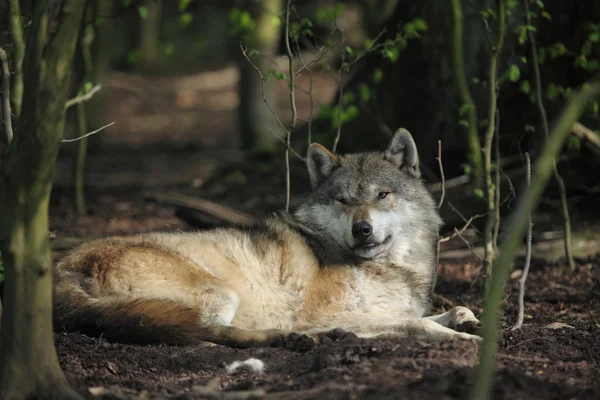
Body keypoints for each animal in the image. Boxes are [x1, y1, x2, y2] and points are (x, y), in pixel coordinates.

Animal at [52, 130, 482, 348]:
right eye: (343, 200)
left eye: (382, 194)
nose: (362, 229)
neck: (390, 268)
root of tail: (62, 267)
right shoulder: (325, 311)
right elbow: (416, 325)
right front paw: (459, 338)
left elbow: (427, 313)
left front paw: (463, 317)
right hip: (220, 292)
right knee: (209, 334)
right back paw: (293, 337)